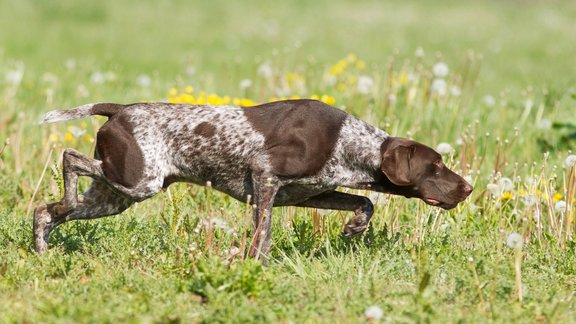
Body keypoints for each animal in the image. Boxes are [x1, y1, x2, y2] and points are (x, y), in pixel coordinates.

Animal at [35, 98, 472, 258]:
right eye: (435, 166)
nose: (467, 187)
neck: (348, 142)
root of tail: (120, 109)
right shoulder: (264, 175)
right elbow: (262, 234)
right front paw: (254, 264)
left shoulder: (307, 193)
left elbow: (364, 200)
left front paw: (355, 227)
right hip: (138, 180)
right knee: (69, 158)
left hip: (115, 195)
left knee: (45, 211)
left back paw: (42, 247)